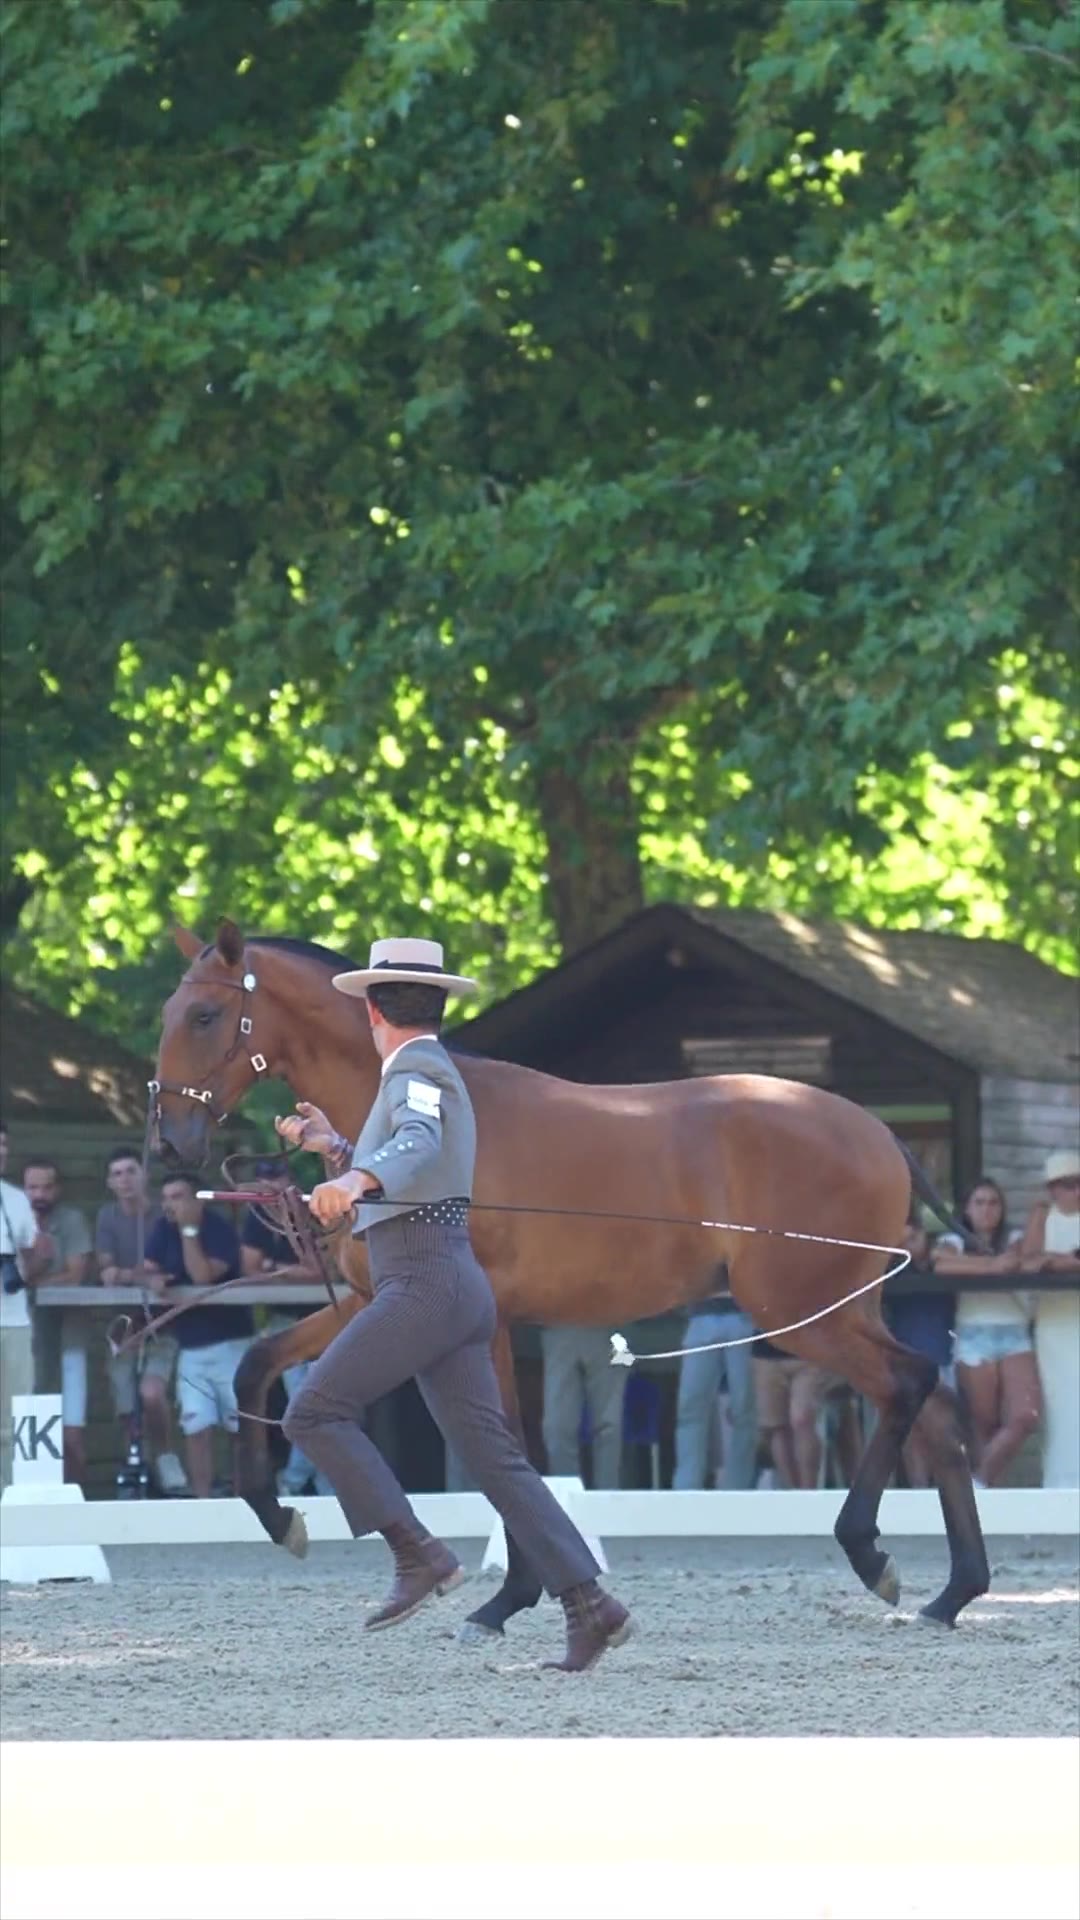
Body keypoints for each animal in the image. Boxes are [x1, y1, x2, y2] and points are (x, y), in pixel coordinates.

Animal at [152, 918, 989, 1634]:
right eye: (169, 1011)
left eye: (204, 1016)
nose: (169, 1143)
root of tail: (878, 1132)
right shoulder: (371, 1301)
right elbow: (258, 1365)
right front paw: (278, 1517)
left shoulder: (476, 1319)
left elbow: (505, 1447)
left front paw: (510, 1599)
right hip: (845, 1310)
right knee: (940, 1411)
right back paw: (954, 1592)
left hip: (805, 1312)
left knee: (910, 1385)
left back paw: (872, 1554)